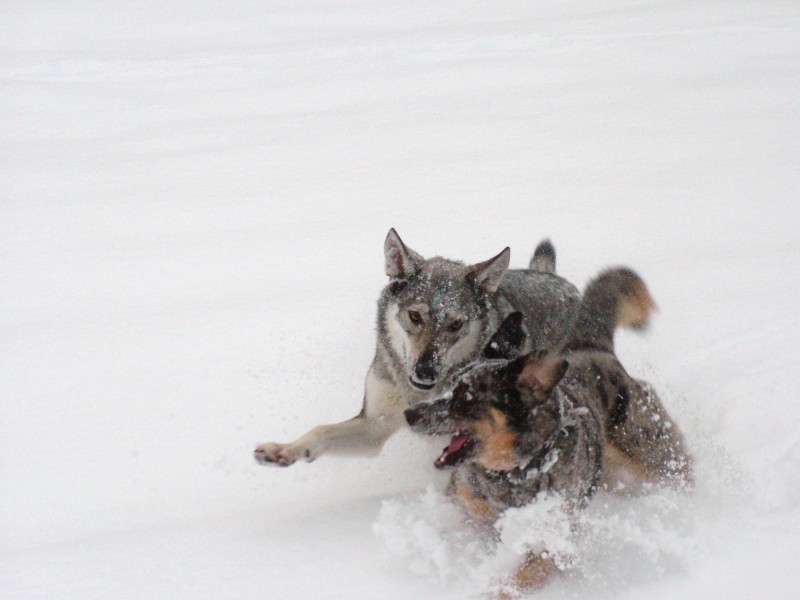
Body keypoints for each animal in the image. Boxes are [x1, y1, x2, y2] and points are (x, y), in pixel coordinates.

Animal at [258, 227, 580, 466]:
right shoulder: (375, 424)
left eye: (456, 324)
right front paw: (284, 450)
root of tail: (560, 281)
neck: (416, 395)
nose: (426, 371)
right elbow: (321, 430)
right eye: (415, 316)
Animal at [404, 270, 692, 596]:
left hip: (649, 447)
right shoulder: (464, 500)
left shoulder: (551, 537)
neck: (513, 472)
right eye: (449, 384)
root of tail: (591, 345)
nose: (410, 414)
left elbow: (522, 575)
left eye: (465, 397)